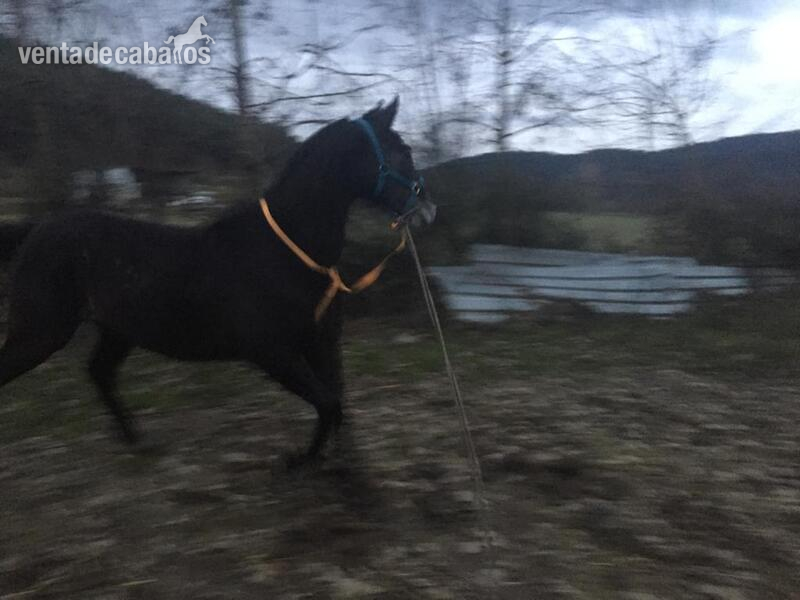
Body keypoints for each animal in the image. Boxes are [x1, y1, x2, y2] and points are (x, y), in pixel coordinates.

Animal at [0, 97, 436, 466]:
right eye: (401, 152)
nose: (428, 208)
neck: (288, 253)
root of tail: (37, 229)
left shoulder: (322, 344)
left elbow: (338, 405)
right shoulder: (272, 354)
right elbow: (328, 404)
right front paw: (301, 460)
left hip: (117, 331)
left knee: (100, 373)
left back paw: (137, 439)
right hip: (41, 333)